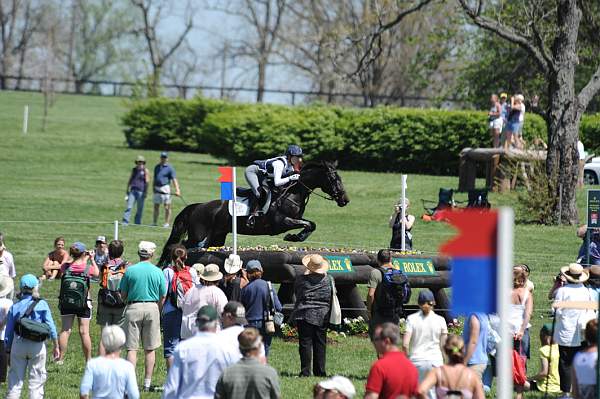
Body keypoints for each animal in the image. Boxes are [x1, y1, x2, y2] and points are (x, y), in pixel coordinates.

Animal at [157, 161, 350, 264]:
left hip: (216, 238)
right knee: (178, 246)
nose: (345, 200)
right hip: (198, 235)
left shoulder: (295, 218)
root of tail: (197, 206)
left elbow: (311, 224)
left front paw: (297, 237)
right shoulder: (281, 222)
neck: (294, 192)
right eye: (333, 178)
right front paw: (293, 237)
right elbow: (306, 224)